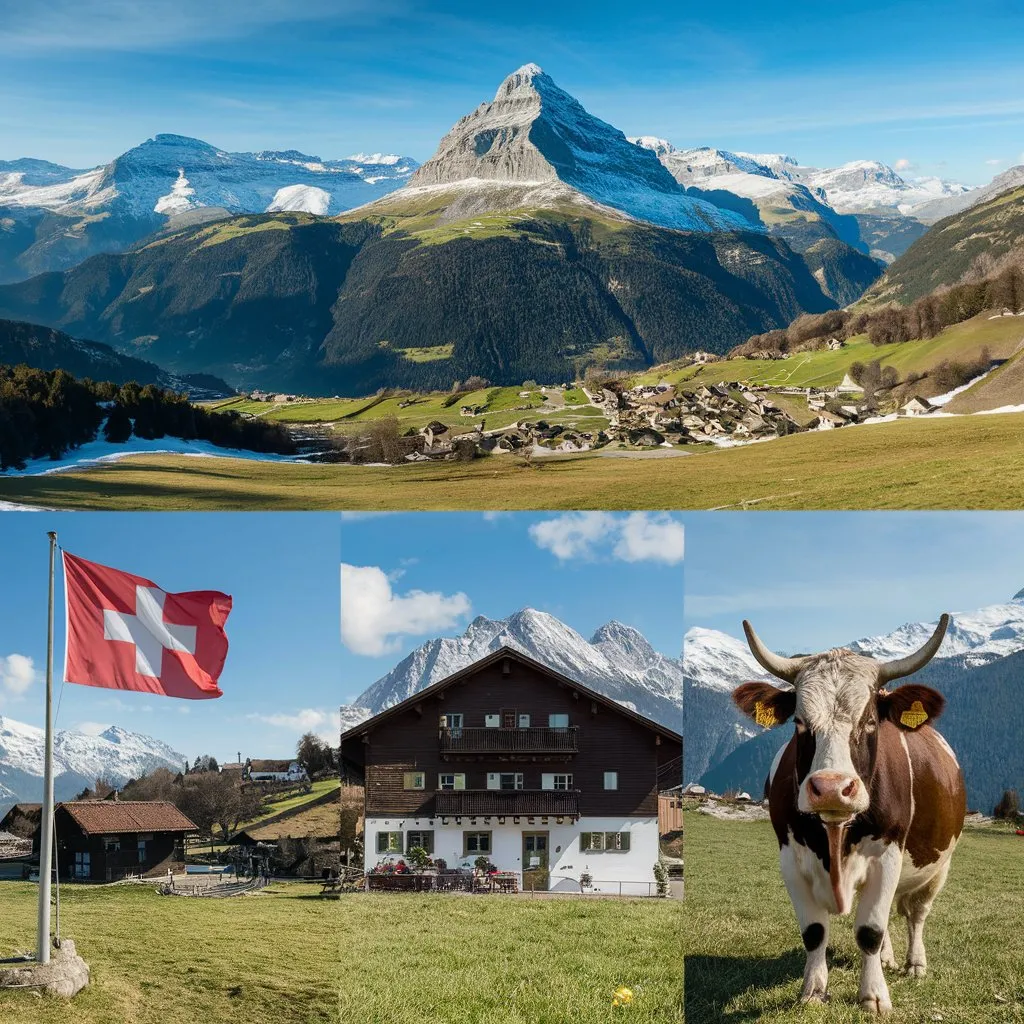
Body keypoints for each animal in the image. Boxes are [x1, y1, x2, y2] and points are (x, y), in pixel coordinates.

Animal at [733, 610, 962, 1011]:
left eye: (869, 721)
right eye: (799, 722)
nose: (831, 788)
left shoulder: (887, 856)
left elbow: (869, 930)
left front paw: (873, 995)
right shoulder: (790, 860)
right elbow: (814, 932)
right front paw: (813, 991)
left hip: (938, 867)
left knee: (916, 913)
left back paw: (914, 964)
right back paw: (888, 958)